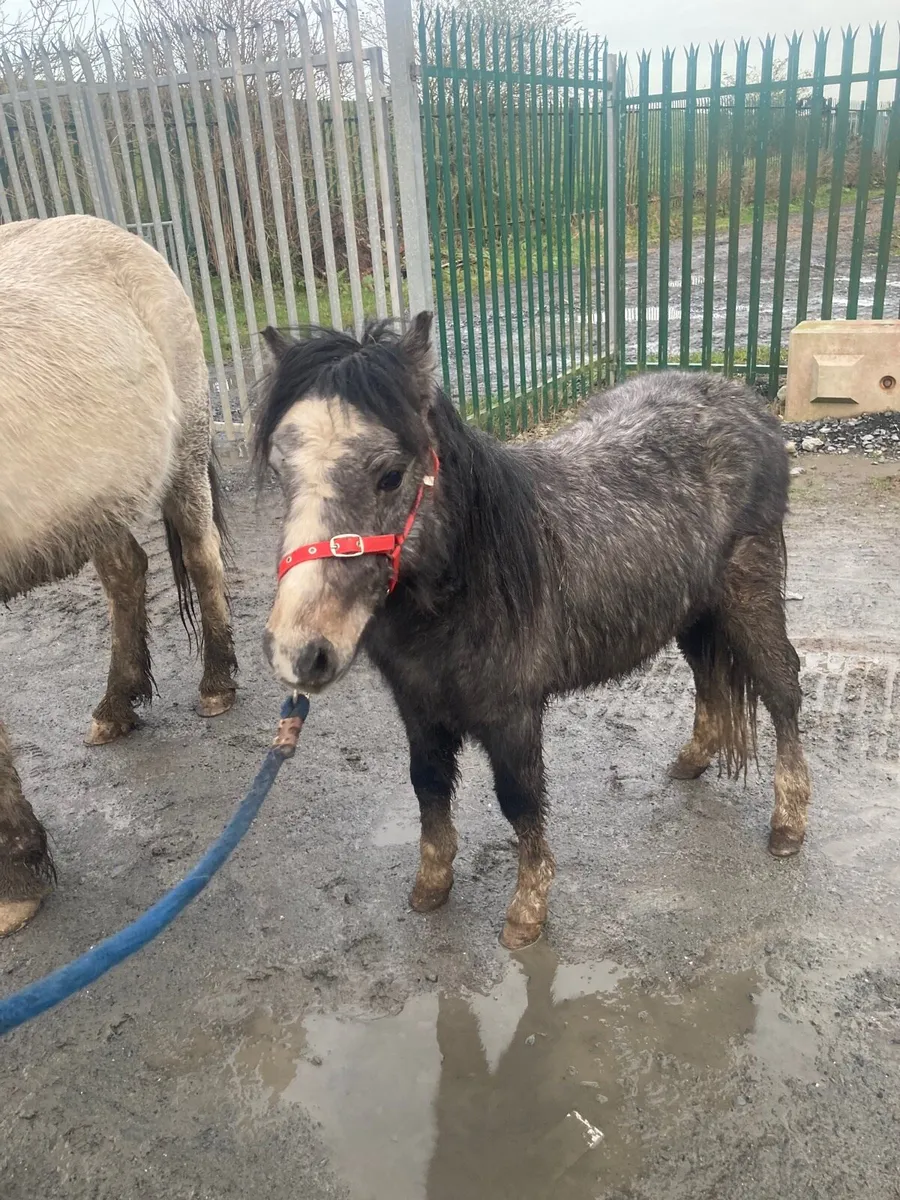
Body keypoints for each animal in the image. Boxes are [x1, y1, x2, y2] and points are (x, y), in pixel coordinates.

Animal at [0, 214, 237, 937]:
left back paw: (217, 682)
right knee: (126, 572)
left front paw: (16, 877)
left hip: (183, 449)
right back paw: (117, 703)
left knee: (201, 555)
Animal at [255, 313, 811, 950]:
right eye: (280, 473)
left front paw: (527, 911)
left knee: (782, 689)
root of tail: (744, 402)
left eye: (391, 476)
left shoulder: (512, 713)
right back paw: (693, 760)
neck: (476, 579)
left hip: (749, 595)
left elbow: (519, 801)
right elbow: (427, 785)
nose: (300, 652)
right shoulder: (418, 707)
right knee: (708, 676)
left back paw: (788, 824)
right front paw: (432, 886)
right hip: (694, 610)